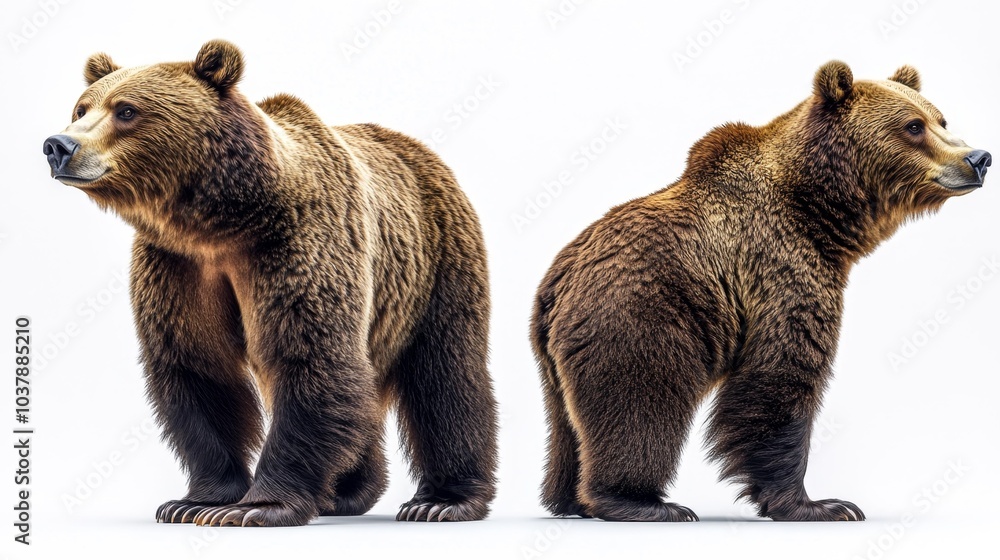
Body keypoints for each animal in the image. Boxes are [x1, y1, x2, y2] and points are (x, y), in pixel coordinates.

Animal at [43, 40, 498, 527]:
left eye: (126, 110)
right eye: (81, 107)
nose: (59, 145)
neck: (220, 222)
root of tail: (419, 151)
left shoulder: (297, 245)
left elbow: (309, 355)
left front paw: (257, 506)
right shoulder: (178, 266)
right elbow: (200, 369)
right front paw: (195, 502)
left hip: (435, 263)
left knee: (445, 373)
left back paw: (440, 500)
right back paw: (346, 491)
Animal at [530, 61, 990, 522]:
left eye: (941, 119)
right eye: (913, 126)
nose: (979, 158)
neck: (820, 211)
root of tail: (558, 284)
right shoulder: (780, 267)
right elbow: (780, 374)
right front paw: (822, 505)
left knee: (567, 426)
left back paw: (568, 498)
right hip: (641, 313)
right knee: (640, 401)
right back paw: (642, 502)